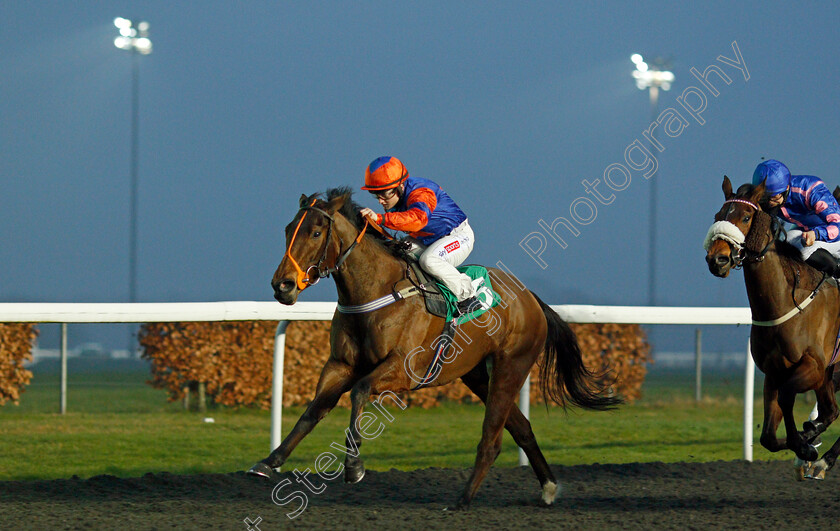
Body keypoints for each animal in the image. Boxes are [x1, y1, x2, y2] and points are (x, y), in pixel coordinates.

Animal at [246, 187, 620, 508]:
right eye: (288, 229)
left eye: (315, 233)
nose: (282, 286)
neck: (376, 291)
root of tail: (530, 297)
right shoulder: (340, 364)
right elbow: (313, 411)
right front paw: (269, 461)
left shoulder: (403, 370)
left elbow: (360, 391)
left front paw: (353, 466)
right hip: (476, 374)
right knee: (521, 428)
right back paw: (548, 487)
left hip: (511, 365)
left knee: (492, 437)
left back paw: (463, 500)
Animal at [704, 177, 840, 480]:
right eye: (718, 216)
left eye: (746, 217)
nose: (717, 260)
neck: (784, 301)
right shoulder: (774, 372)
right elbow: (767, 436)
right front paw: (807, 444)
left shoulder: (813, 367)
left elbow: (789, 397)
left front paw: (805, 446)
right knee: (831, 410)